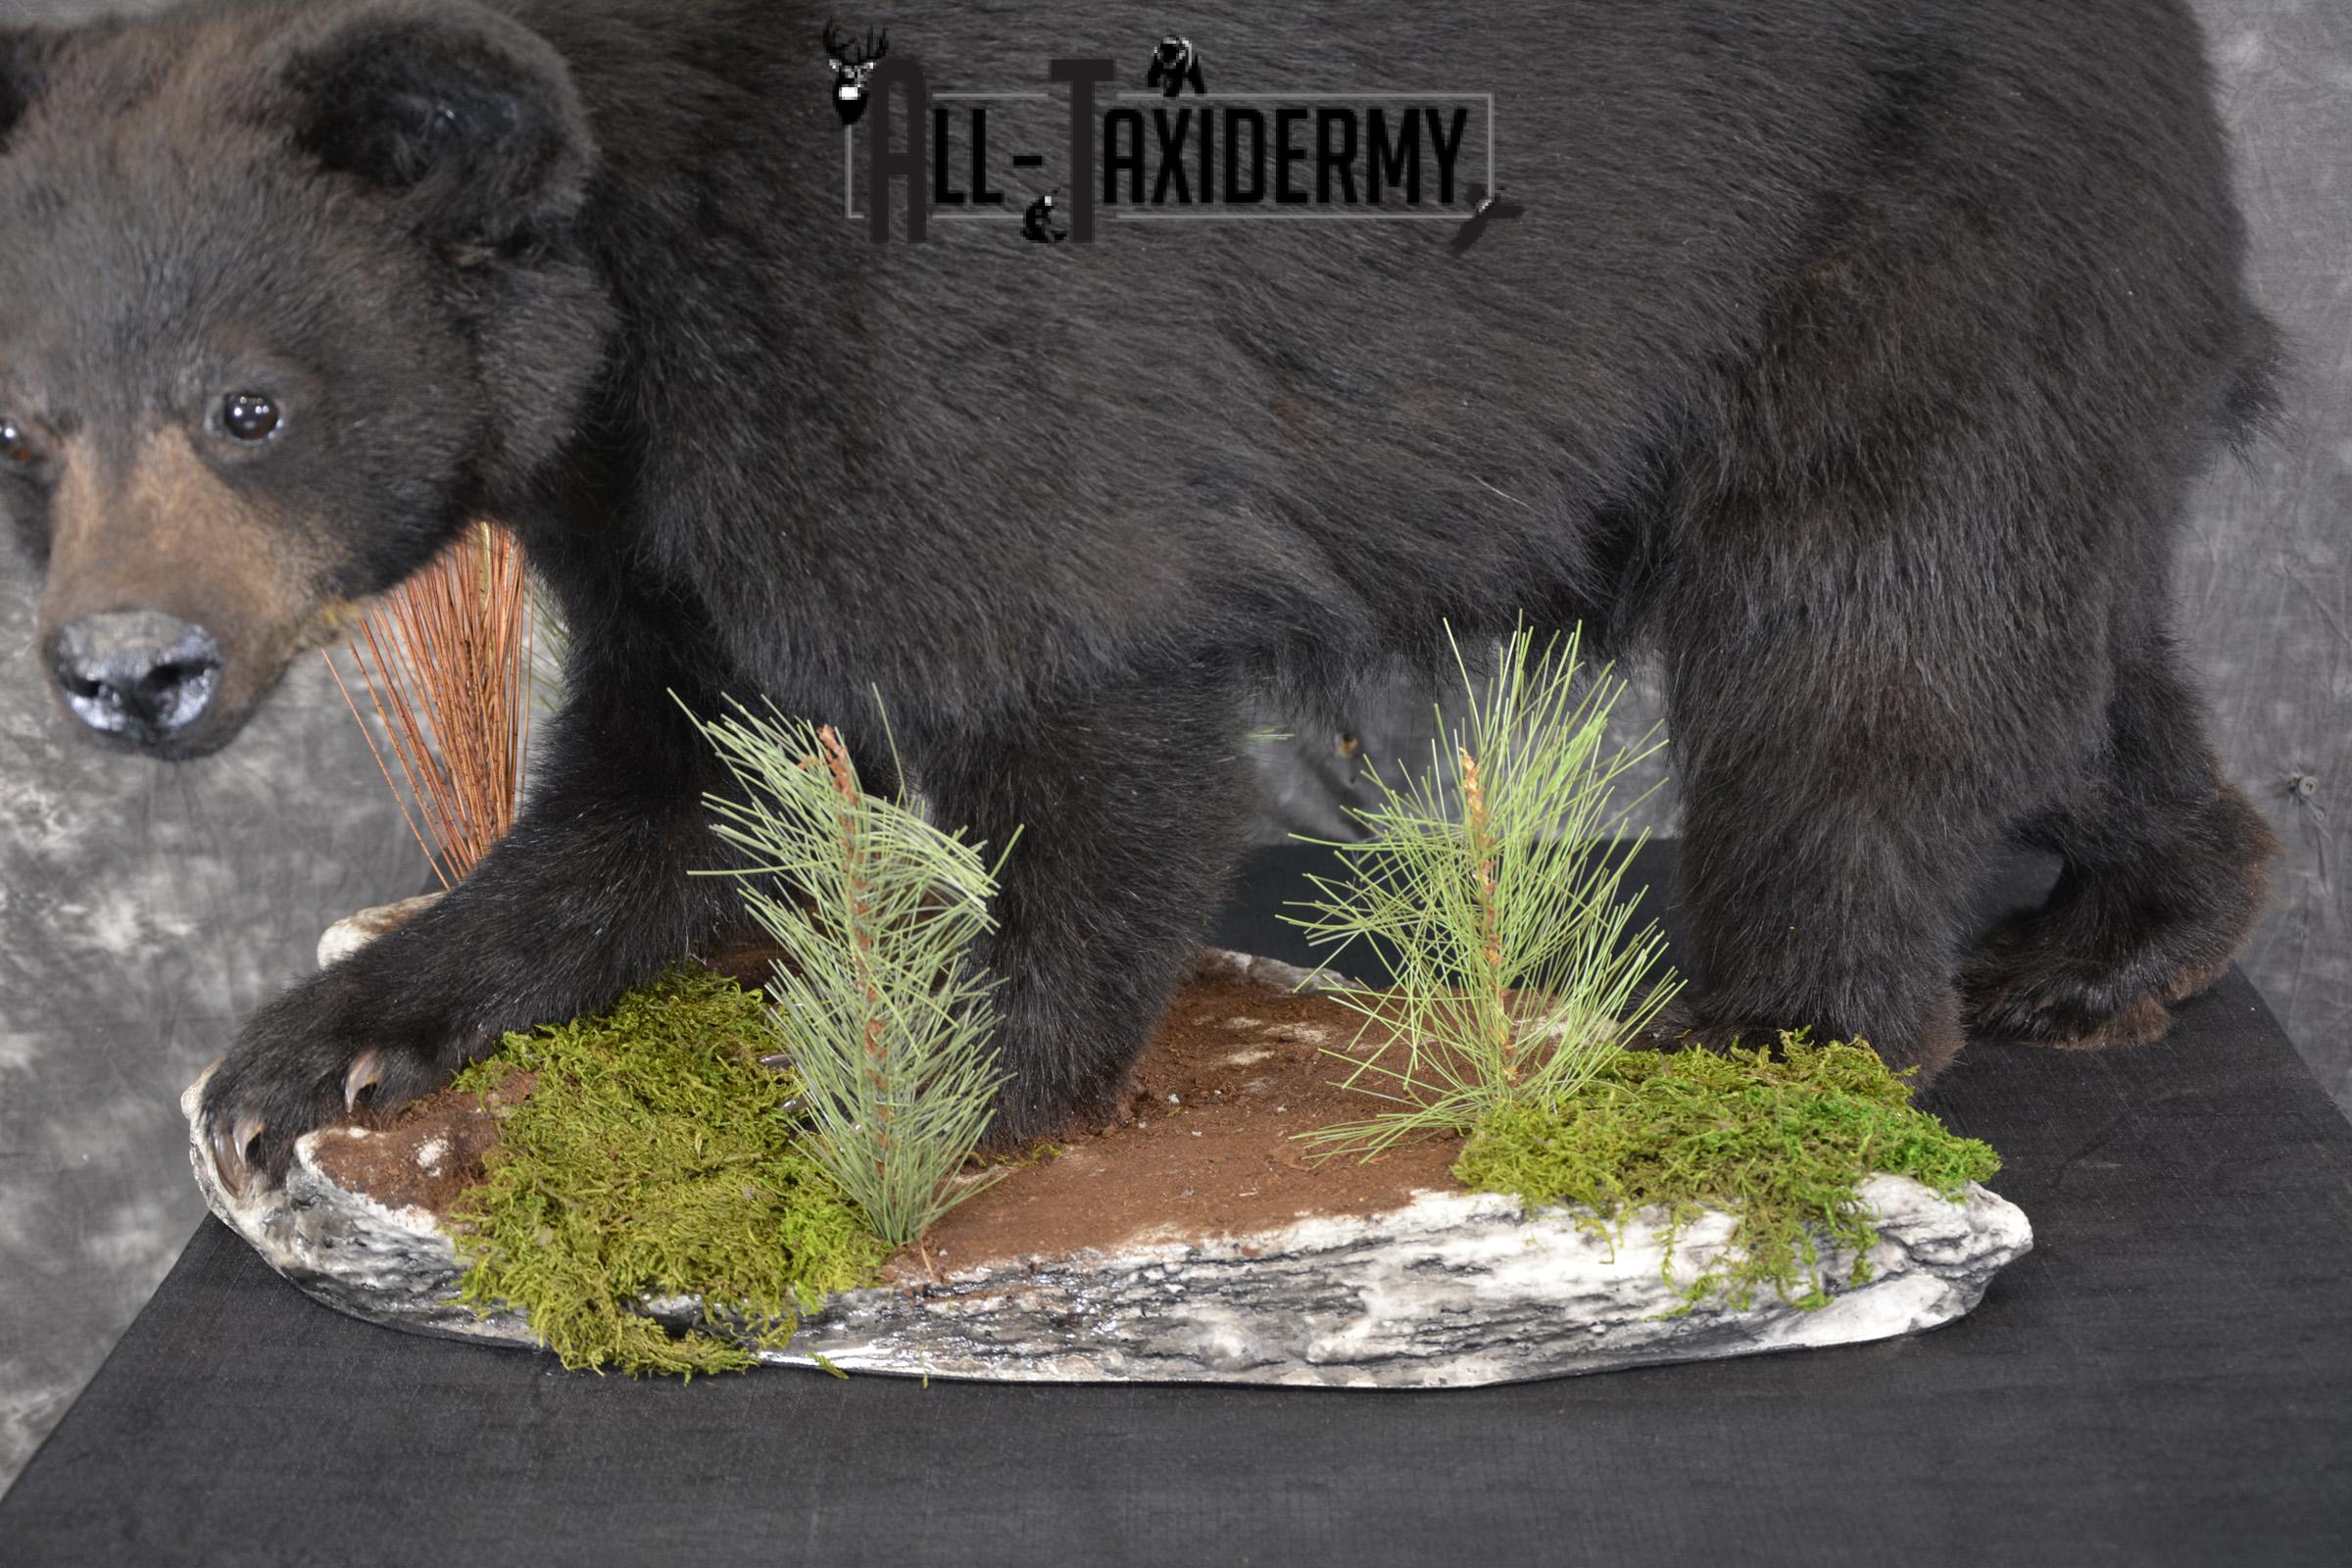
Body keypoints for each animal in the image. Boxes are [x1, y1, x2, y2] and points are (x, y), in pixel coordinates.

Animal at [0, 0, 2281, 1191]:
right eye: (26, 423)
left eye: (246, 403)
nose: (126, 672)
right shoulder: (659, 498)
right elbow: (667, 776)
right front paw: (311, 1048)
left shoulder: (901, 340)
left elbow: (1088, 708)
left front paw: (904, 1106)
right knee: (2061, 637)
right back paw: (2122, 931)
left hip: (1921, 233)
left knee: (1865, 626)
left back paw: (1771, 1042)